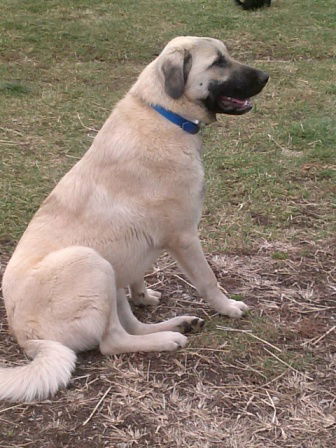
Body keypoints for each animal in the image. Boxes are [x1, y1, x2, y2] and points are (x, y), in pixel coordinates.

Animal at [0, 36, 268, 402]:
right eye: (218, 62)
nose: (266, 76)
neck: (164, 112)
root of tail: (29, 340)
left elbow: (139, 276)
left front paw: (143, 295)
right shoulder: (185, 237)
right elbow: (208, 280)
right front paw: (227, 307)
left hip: (109, 278)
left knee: (131, 325)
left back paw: (179, 324)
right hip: (91, 262)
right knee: (113, 342)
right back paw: (169, 339)